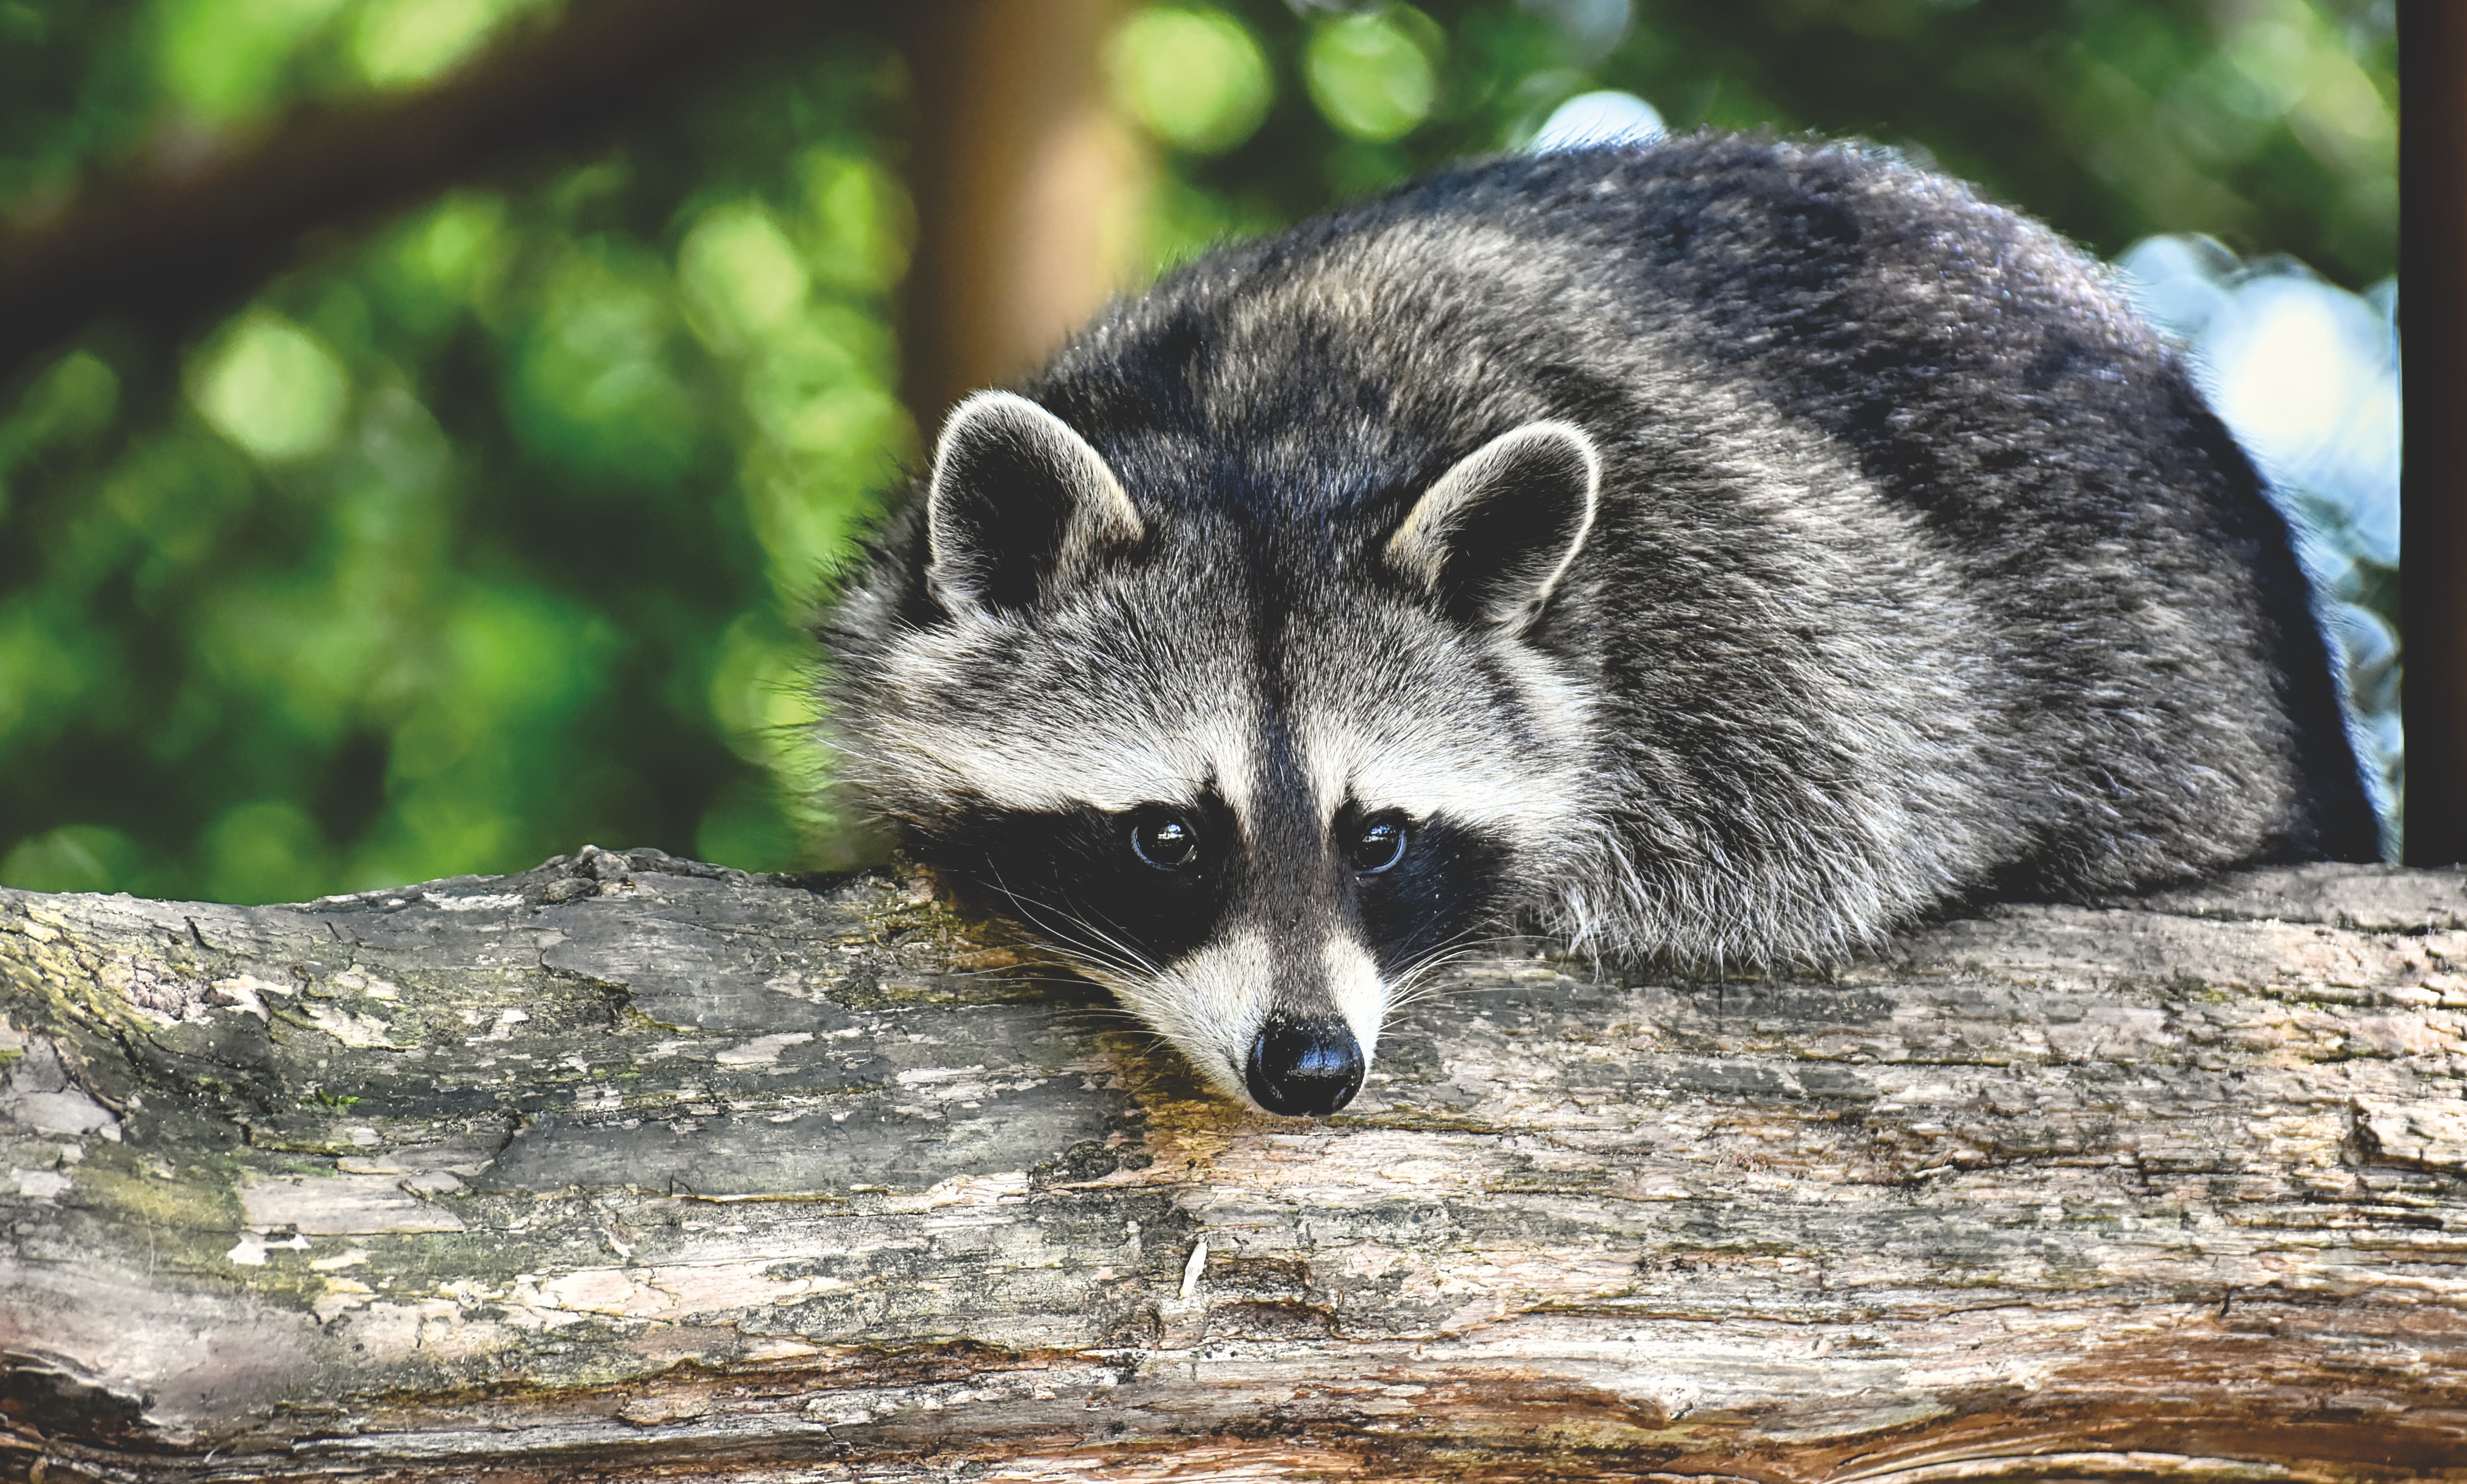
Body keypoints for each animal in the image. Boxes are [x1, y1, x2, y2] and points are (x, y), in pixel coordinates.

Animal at [819, 136, 2378, 1109]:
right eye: (1165, 837)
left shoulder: (1755, 590)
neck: (1250, 429)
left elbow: (1828, 827)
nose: (1310, 1070)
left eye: (1378, 838)